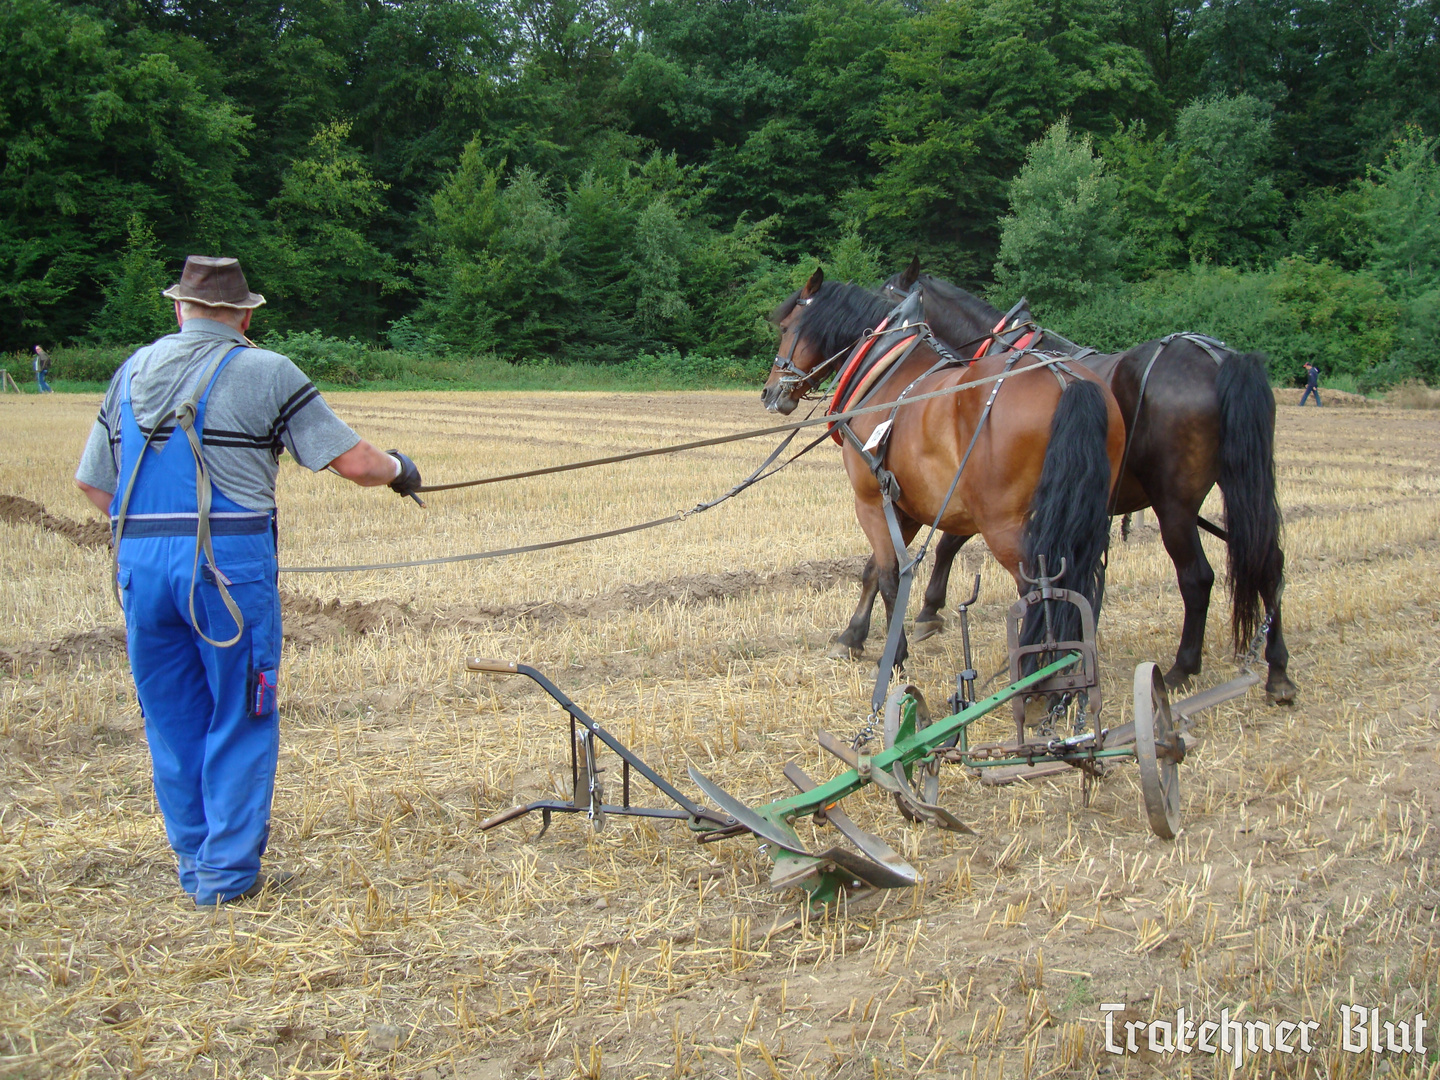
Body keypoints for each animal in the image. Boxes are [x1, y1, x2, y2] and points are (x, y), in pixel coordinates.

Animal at [766, 270, 1123, 676]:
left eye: (785, 327)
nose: (769, 392)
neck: (887, 368)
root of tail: (1067, 381)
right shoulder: (905, 505)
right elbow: (875, 569)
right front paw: (852, 637)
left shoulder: (871, 500)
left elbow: (888, 574)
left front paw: (895, 655)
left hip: (1004, 524)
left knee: (1037, 586)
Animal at [869, 260, 1301, 702]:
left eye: (885, 291)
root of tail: (1219, 360)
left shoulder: (984, 494)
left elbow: (946, 544)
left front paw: (926, 611)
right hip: (1242, 485)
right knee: (1268, 560)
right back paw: (1278, 670)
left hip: (1174, 505)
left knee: (1197, 577)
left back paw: (1184, 666)